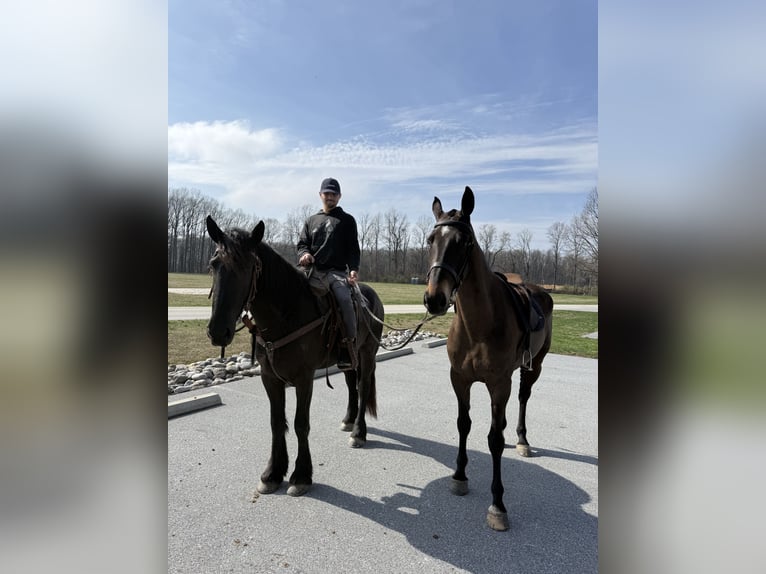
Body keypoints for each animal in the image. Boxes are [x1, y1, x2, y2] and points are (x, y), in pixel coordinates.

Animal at [204, 216, 385, 497]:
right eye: (214, 264)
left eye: (248, 266)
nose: (218, 331)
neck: (286, 313)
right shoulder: (270, 378)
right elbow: (277, 423)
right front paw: (272, 473)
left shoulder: (304, 378)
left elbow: (301, 423)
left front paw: (301, 476)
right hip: (349, 358)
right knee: (352, 386)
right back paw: (348, 420)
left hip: (367, 353)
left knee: (363, 386)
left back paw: (358, 432)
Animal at [422, 186, 554, 531]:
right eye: (430, 240)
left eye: (463, 242)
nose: (434, 299)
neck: (479, 324)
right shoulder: (460, 379)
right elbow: (463, 424)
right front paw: (459, 476)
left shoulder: (498, 384)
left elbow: (494, 438)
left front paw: (498, 504)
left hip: (534, 366)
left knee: (522, 399)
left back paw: (521, 440)